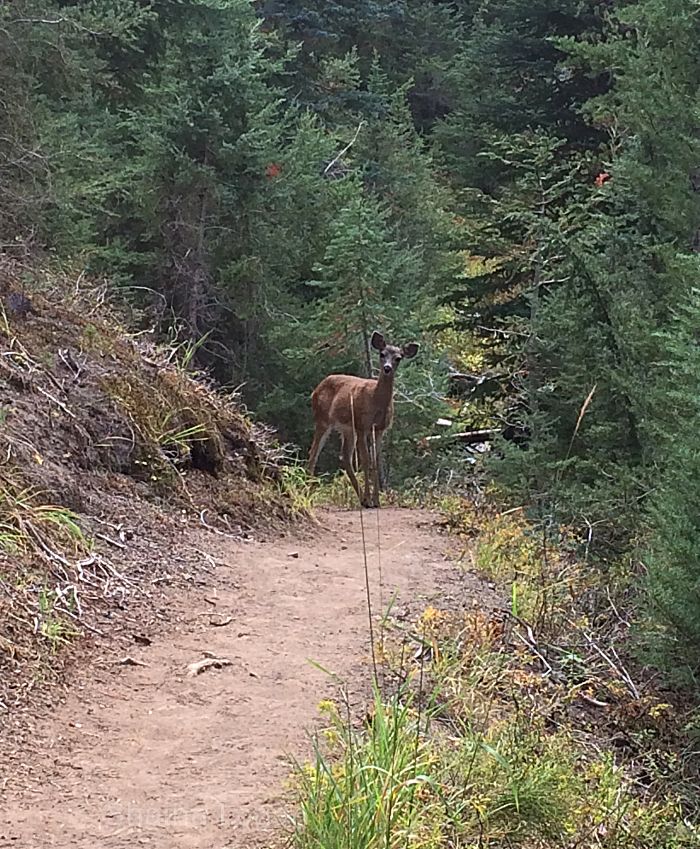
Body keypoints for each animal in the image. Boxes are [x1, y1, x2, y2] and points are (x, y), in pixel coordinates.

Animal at [308, 330, 418, 504]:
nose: (387, 368)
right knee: (313, 453)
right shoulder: (362, 425)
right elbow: (366, 460)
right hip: (323, 419)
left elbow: (376, 461)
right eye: (382, 354)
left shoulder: (379, 429)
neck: (376, 400)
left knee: (345, 457)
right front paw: (371, 498)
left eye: (398, 358)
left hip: (347, 429)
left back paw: (361, 498)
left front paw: (376, 500)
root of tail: (315, 390)